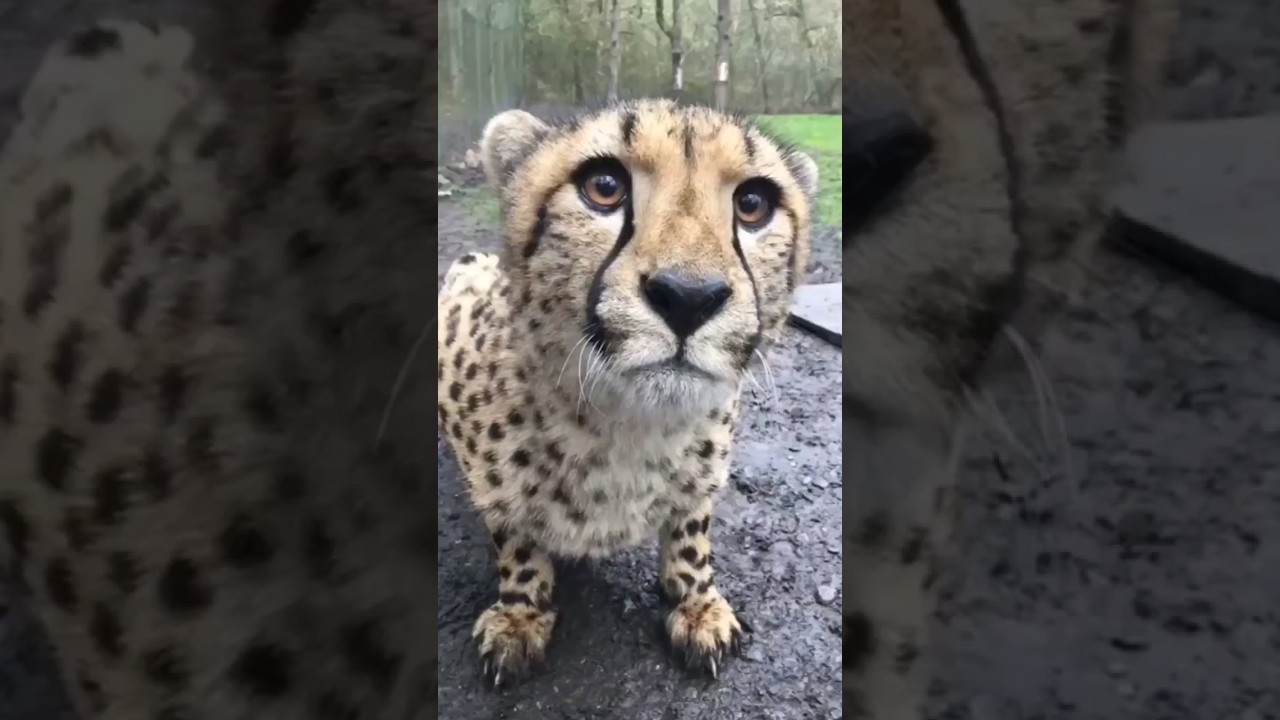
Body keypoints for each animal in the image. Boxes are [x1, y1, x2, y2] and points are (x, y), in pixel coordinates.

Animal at [436, 100, 819, 685]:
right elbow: (512, 531)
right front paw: (520, 613)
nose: (688, 297)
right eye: (604, 187)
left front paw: (697, 603)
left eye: (753, 204)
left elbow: (693, 527)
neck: (625, 426)